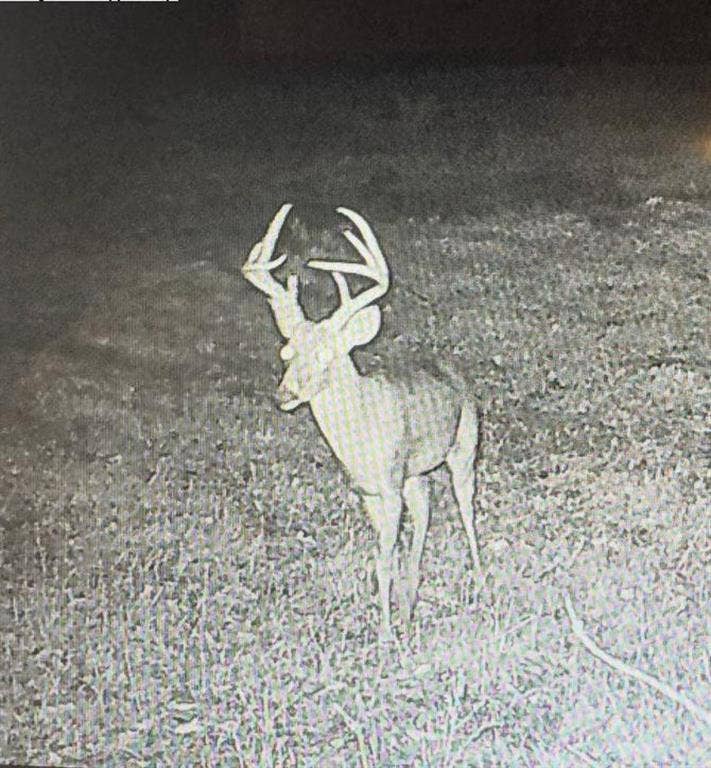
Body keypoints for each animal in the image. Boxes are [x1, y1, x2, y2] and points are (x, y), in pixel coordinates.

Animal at [242, 203, 483, 639]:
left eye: (327, 356)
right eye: (287, 351)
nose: (284, 395)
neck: (361, 430)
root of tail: (455, 369)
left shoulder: (388, 484)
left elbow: (384, 559)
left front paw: (386, 635)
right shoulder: (369, 490)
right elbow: (386, 555)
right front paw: (393, 620)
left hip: (464, 445)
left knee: (465, 509)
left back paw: (480, 580)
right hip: (414, 473)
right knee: (425, 511)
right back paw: (410, 602)